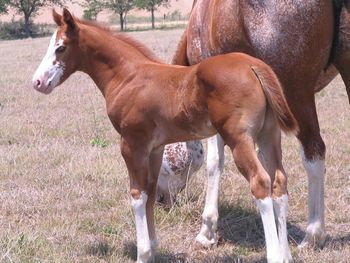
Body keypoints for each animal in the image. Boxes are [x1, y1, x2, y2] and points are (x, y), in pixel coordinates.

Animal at [31, 8, 296, 263]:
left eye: (60, 47)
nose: (38, 82)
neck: (127, 76)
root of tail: (254, 66)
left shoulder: (132, 144)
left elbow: (137, 195)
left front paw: (143, 254)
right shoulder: (155, 149)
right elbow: (150, 192)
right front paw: (153, 248)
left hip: (239, 139)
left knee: (260, 183)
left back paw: (274, 255)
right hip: (269, 136)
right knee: (279, 183)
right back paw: (286, 255)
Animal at [172, 0, 350, 253]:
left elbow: (215, 163)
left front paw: (207, 230)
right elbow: (268, 165)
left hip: (295, 94)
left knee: (314, 152)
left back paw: (313, 234)